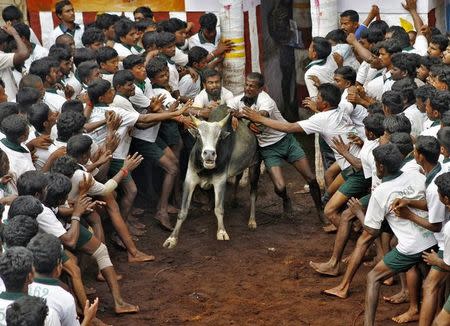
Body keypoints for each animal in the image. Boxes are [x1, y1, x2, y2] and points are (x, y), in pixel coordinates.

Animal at [163, 105, 260, 248]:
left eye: (219, 137)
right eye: (198, 134)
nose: (209, 154)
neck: (205, 169)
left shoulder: (220, 181)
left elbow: (219, 209)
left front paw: (222, 232)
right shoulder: (189, 180)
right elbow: (183, 211)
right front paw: (172, 238)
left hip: (255, 166)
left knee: (253, 194)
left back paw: (252, 221)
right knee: (238, 179)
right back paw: (234, 201)